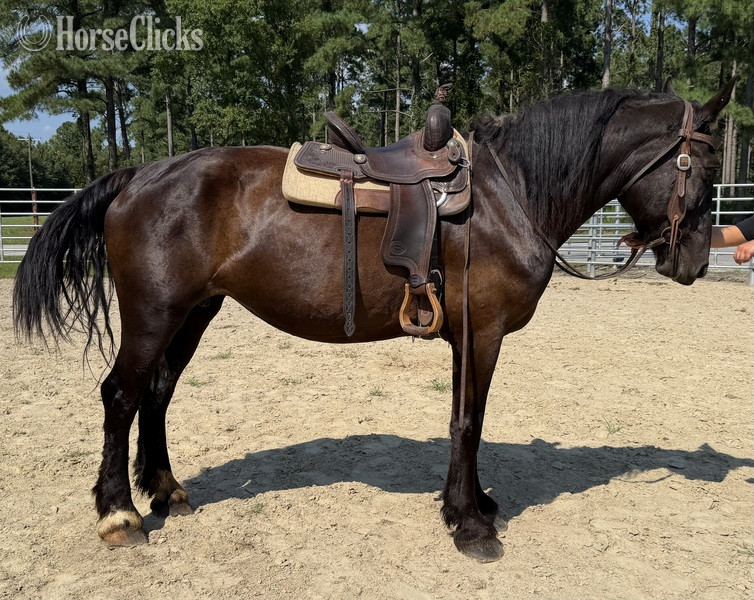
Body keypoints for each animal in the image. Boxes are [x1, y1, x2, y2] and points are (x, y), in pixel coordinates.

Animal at [13, 81, 734, 562]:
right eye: (705, 167)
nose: (697, 260)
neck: (510, 195)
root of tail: (138, 175)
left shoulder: (466, 337)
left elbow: (465, 421)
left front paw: (471, 504)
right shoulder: (483, 333)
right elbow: (469, 422)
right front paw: (470, 526)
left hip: (193, 313)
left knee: (156, 396)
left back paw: (165, 489)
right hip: (153, 314)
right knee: (121, 395)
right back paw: (119, 515)